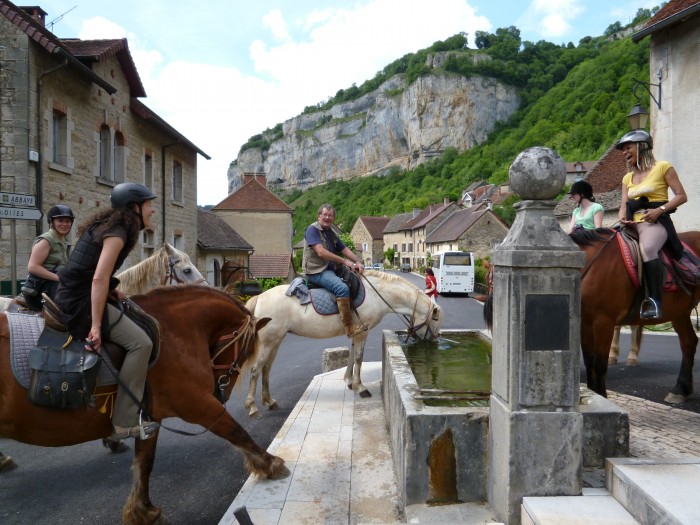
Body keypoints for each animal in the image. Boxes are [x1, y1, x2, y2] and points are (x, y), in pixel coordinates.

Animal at [0, 286, 288, 524]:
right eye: (245, 350)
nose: (222, 393)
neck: (171, 331)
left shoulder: (148, 416)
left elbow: (144, 462)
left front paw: (143, 510)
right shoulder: (198, 403)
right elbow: (237, 431)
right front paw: (270, 463)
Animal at [245, 270, 442, 418]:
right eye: (435, 318)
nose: (434, 339)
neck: (377, 295)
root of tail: (260, 297)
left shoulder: (357, 333)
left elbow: (352, 356)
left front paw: (349, 381)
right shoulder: (363, 332)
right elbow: (359, 358)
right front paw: (360, 387)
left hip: (276, 340)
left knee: (266, 369)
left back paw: (269, 401)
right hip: (269, 341)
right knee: (255, 370)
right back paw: (253, 407)